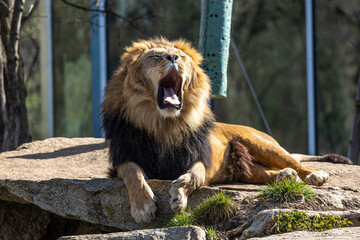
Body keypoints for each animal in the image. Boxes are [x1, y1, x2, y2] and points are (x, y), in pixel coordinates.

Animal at [101, 37, 352, 223]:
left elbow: (195, 176)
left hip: (262, 144)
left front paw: (178, 196)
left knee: (295, 162)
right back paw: (285, 176)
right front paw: (143, 208)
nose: (173, 57)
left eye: (181, 57)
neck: (164, 124)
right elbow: (134, 175)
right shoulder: (123, 157)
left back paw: (313, 175)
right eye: (156, 56)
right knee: (265, 173)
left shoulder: (199, 157)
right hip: (247, 170)